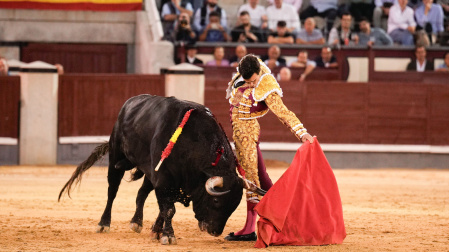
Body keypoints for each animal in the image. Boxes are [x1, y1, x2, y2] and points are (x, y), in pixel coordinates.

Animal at [57, 94, 264, 244]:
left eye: (234, 205)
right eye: (215, 201)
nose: (215, 231)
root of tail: (128, 104)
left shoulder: (169, 182)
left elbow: (164, 208)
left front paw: (156, 232)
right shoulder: (164, 179)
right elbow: (169, 209)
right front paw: (168, 236)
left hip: (149, 173)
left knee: (141, 193)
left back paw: (136, 223)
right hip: (115, 157)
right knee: (112, 191)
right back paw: (103, 224)